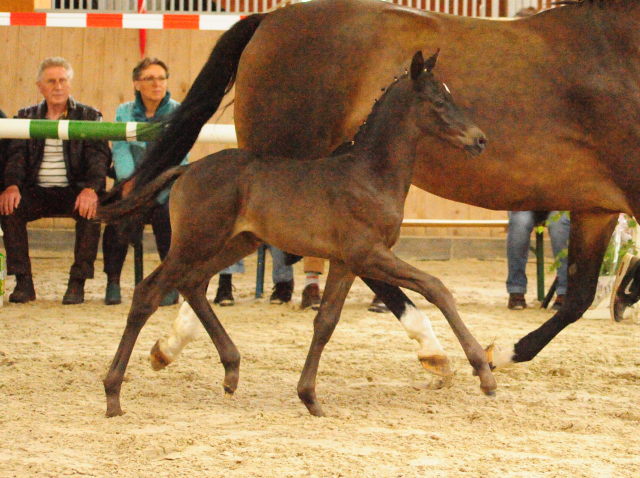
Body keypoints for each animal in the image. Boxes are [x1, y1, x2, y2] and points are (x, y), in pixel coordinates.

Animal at [100, 52, 492, 418]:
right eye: (438, 101)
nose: (480, 139)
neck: (369, 175)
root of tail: (187, 168)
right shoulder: (368, 254)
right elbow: (436, 287)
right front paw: (484, 371)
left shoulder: (345, 263)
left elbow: (326, 321)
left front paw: (309, 397)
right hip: (195, 242)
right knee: (148, 292)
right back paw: (113, 394)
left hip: (236, 243)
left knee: (192, 284)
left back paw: (231, 370)